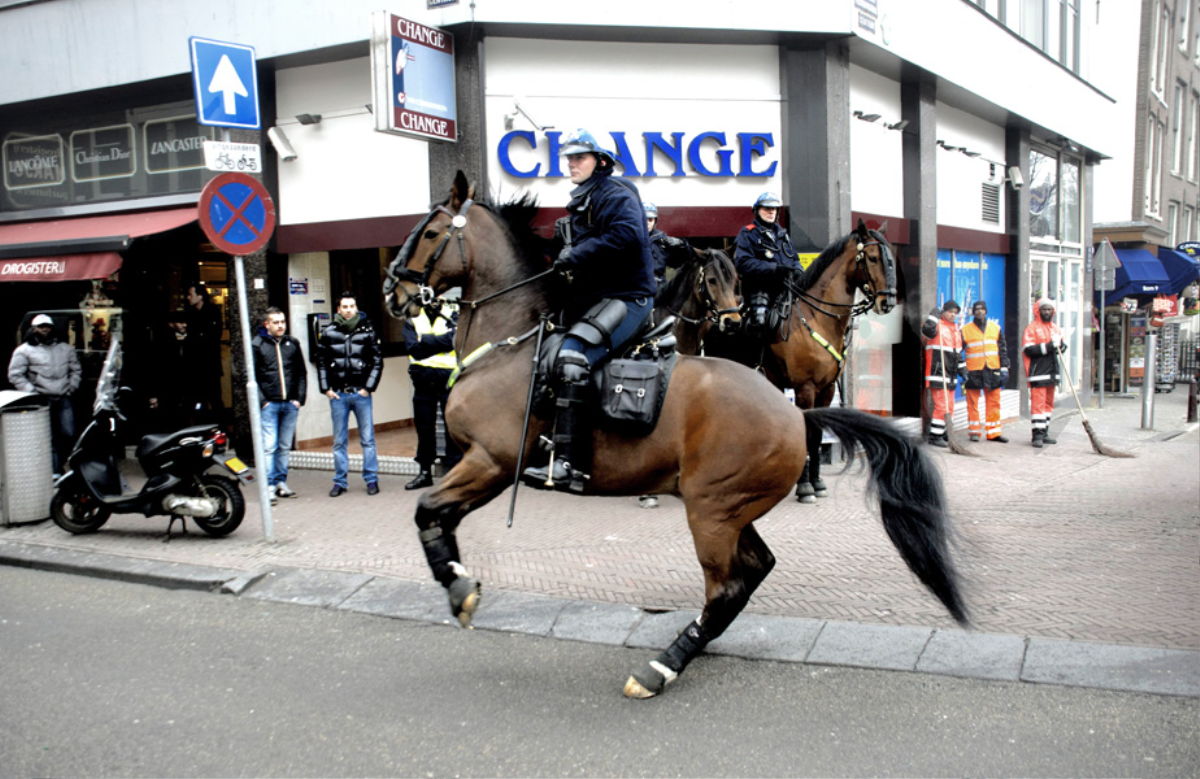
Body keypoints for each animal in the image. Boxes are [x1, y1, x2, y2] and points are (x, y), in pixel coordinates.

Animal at [384, 175, 964, 700]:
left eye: (430, 232)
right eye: (876, 258)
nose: (394, 289)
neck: (513, 343)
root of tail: (790, 416)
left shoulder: (491, 462)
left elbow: (427, 511)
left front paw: (459, 587)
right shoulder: (482, 465)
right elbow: (435, 516)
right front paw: (456, 580)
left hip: (712, 512)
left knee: (726, 588)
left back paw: (660, 668)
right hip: (730, 509)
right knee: (753, 574)